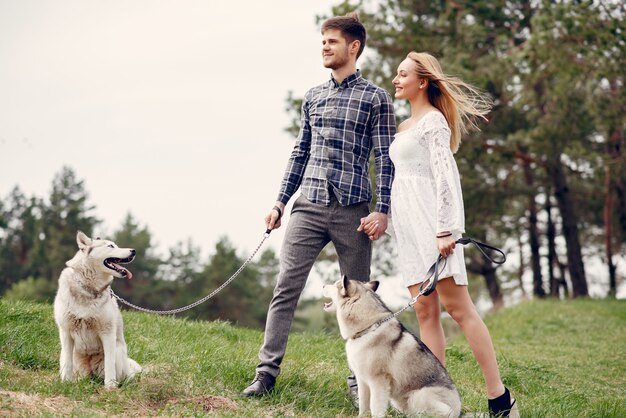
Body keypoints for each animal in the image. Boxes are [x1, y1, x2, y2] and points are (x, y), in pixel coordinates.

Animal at [53, 230, 141, 386]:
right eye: (111, 246)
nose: (134, 251)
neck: (88, 289)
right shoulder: (66, 332)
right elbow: (68, 364)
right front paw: (66, 383)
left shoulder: (107, 332)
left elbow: (109, 364)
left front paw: (110, 386)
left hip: (118, 352)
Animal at [324, 276, 460, 416]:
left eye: (336, 284)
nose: (323, 286)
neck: (368, 329)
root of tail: (458, 409)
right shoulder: (362, 381)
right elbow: (363, 404)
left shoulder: (378, 382)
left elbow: (375, 406)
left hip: (419, 396)